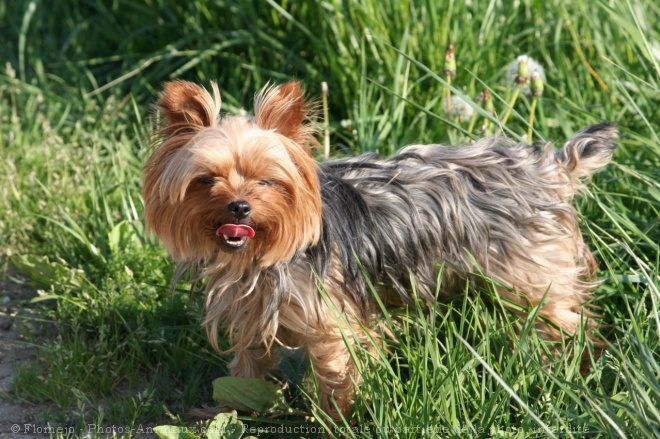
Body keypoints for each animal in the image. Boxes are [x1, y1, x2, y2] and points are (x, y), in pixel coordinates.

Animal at [141, 80, 620, 420]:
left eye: (267, 181)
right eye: (206, 180)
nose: (239, 206)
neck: (257, 259)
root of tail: (547, 168)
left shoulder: (332, 322)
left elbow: (337, 372)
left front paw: (338, 421)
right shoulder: (252, 310)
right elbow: (248, 368)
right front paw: (229, 410)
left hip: (534, 275)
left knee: (566, 323)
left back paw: (577, 371)